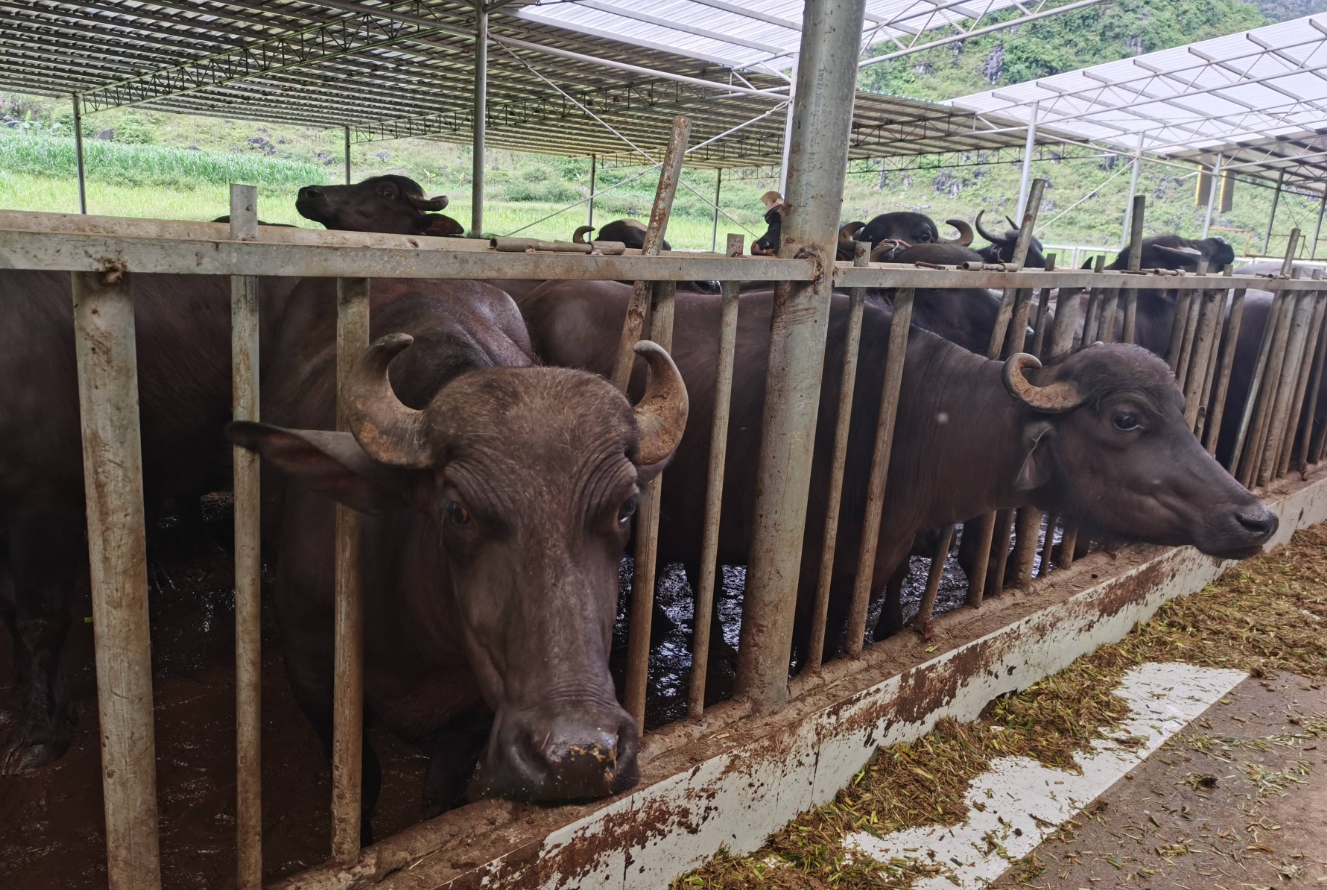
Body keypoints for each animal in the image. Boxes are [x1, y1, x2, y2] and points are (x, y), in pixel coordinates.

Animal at [228, 282, 684, 838]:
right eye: (458, 511)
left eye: (626, 508)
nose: (578, 756)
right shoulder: (312, 675)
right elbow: (360, 788)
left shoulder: (476, 711)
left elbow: (441, 791)